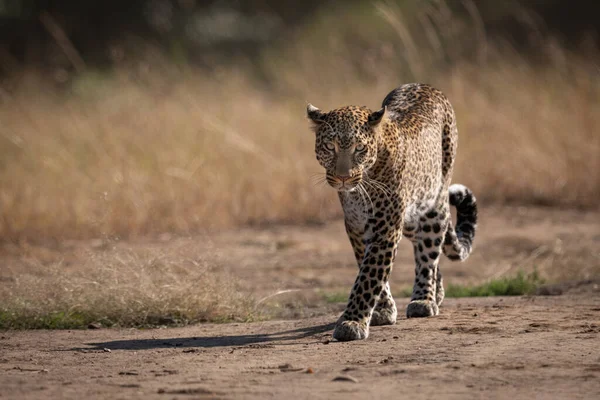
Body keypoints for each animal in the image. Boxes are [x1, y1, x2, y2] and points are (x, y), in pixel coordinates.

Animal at [308, 83, 476, 342]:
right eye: (329, 146)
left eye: (359, 148)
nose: (343, 177)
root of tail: (425, 85)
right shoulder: (357, 227)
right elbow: (369, 268)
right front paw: (383, 310)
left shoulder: (385, 229)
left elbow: (369, 276)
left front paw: (351, 322)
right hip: (410, 220)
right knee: (426, 247)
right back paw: (437, 293)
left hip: (434, 205)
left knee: (429, 254)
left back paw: (424, 299)